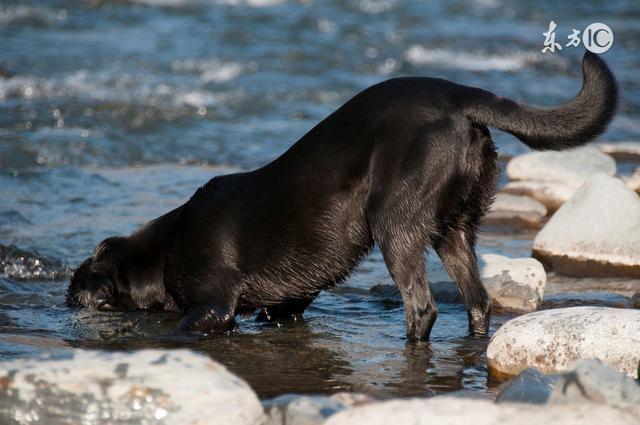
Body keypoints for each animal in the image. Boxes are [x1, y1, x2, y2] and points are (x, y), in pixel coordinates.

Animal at [65, 51, 616, 340]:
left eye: (80, 286)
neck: (161, 252)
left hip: (395, 224)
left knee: (422, 307)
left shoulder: (215, 304)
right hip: (455, 230)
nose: (67, 298)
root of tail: (460, 97)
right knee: (478, 301)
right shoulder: (287, 303)